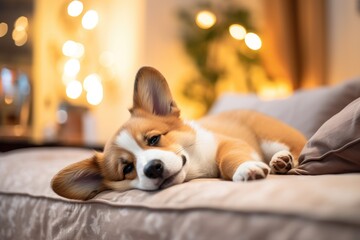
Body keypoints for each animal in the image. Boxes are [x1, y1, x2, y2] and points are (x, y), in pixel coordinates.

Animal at [51, 66, 306, 201]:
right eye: (127, 168)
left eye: (154, 139)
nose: (153, 168)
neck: (196, 167)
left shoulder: (229, 143)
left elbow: (229, 159)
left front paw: (246, 169)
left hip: (271, 137)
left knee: (297, 149)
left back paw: (281, 160)